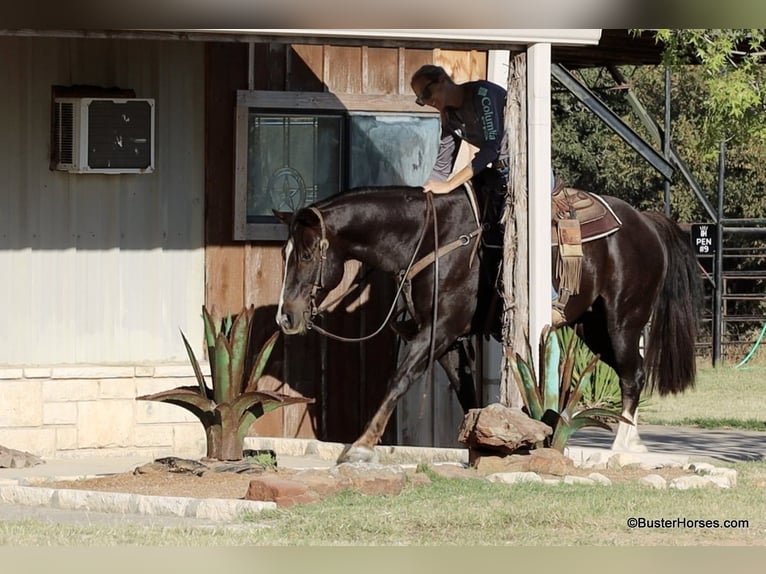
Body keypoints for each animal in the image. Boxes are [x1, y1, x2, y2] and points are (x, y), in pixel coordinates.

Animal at [275, 175, 702, 463]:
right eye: (285, 253)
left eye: (308, 255)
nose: (286, 317)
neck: (428, 239)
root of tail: (645, 222)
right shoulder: (451, 341)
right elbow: (467, 396)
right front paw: (480, 446)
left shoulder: (439, 330)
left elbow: (399, 379)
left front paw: (361, 445)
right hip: (592, 327)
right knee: (634, 372)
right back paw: (634, 443)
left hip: (622, 322)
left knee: (633, 375)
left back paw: (620, 447)